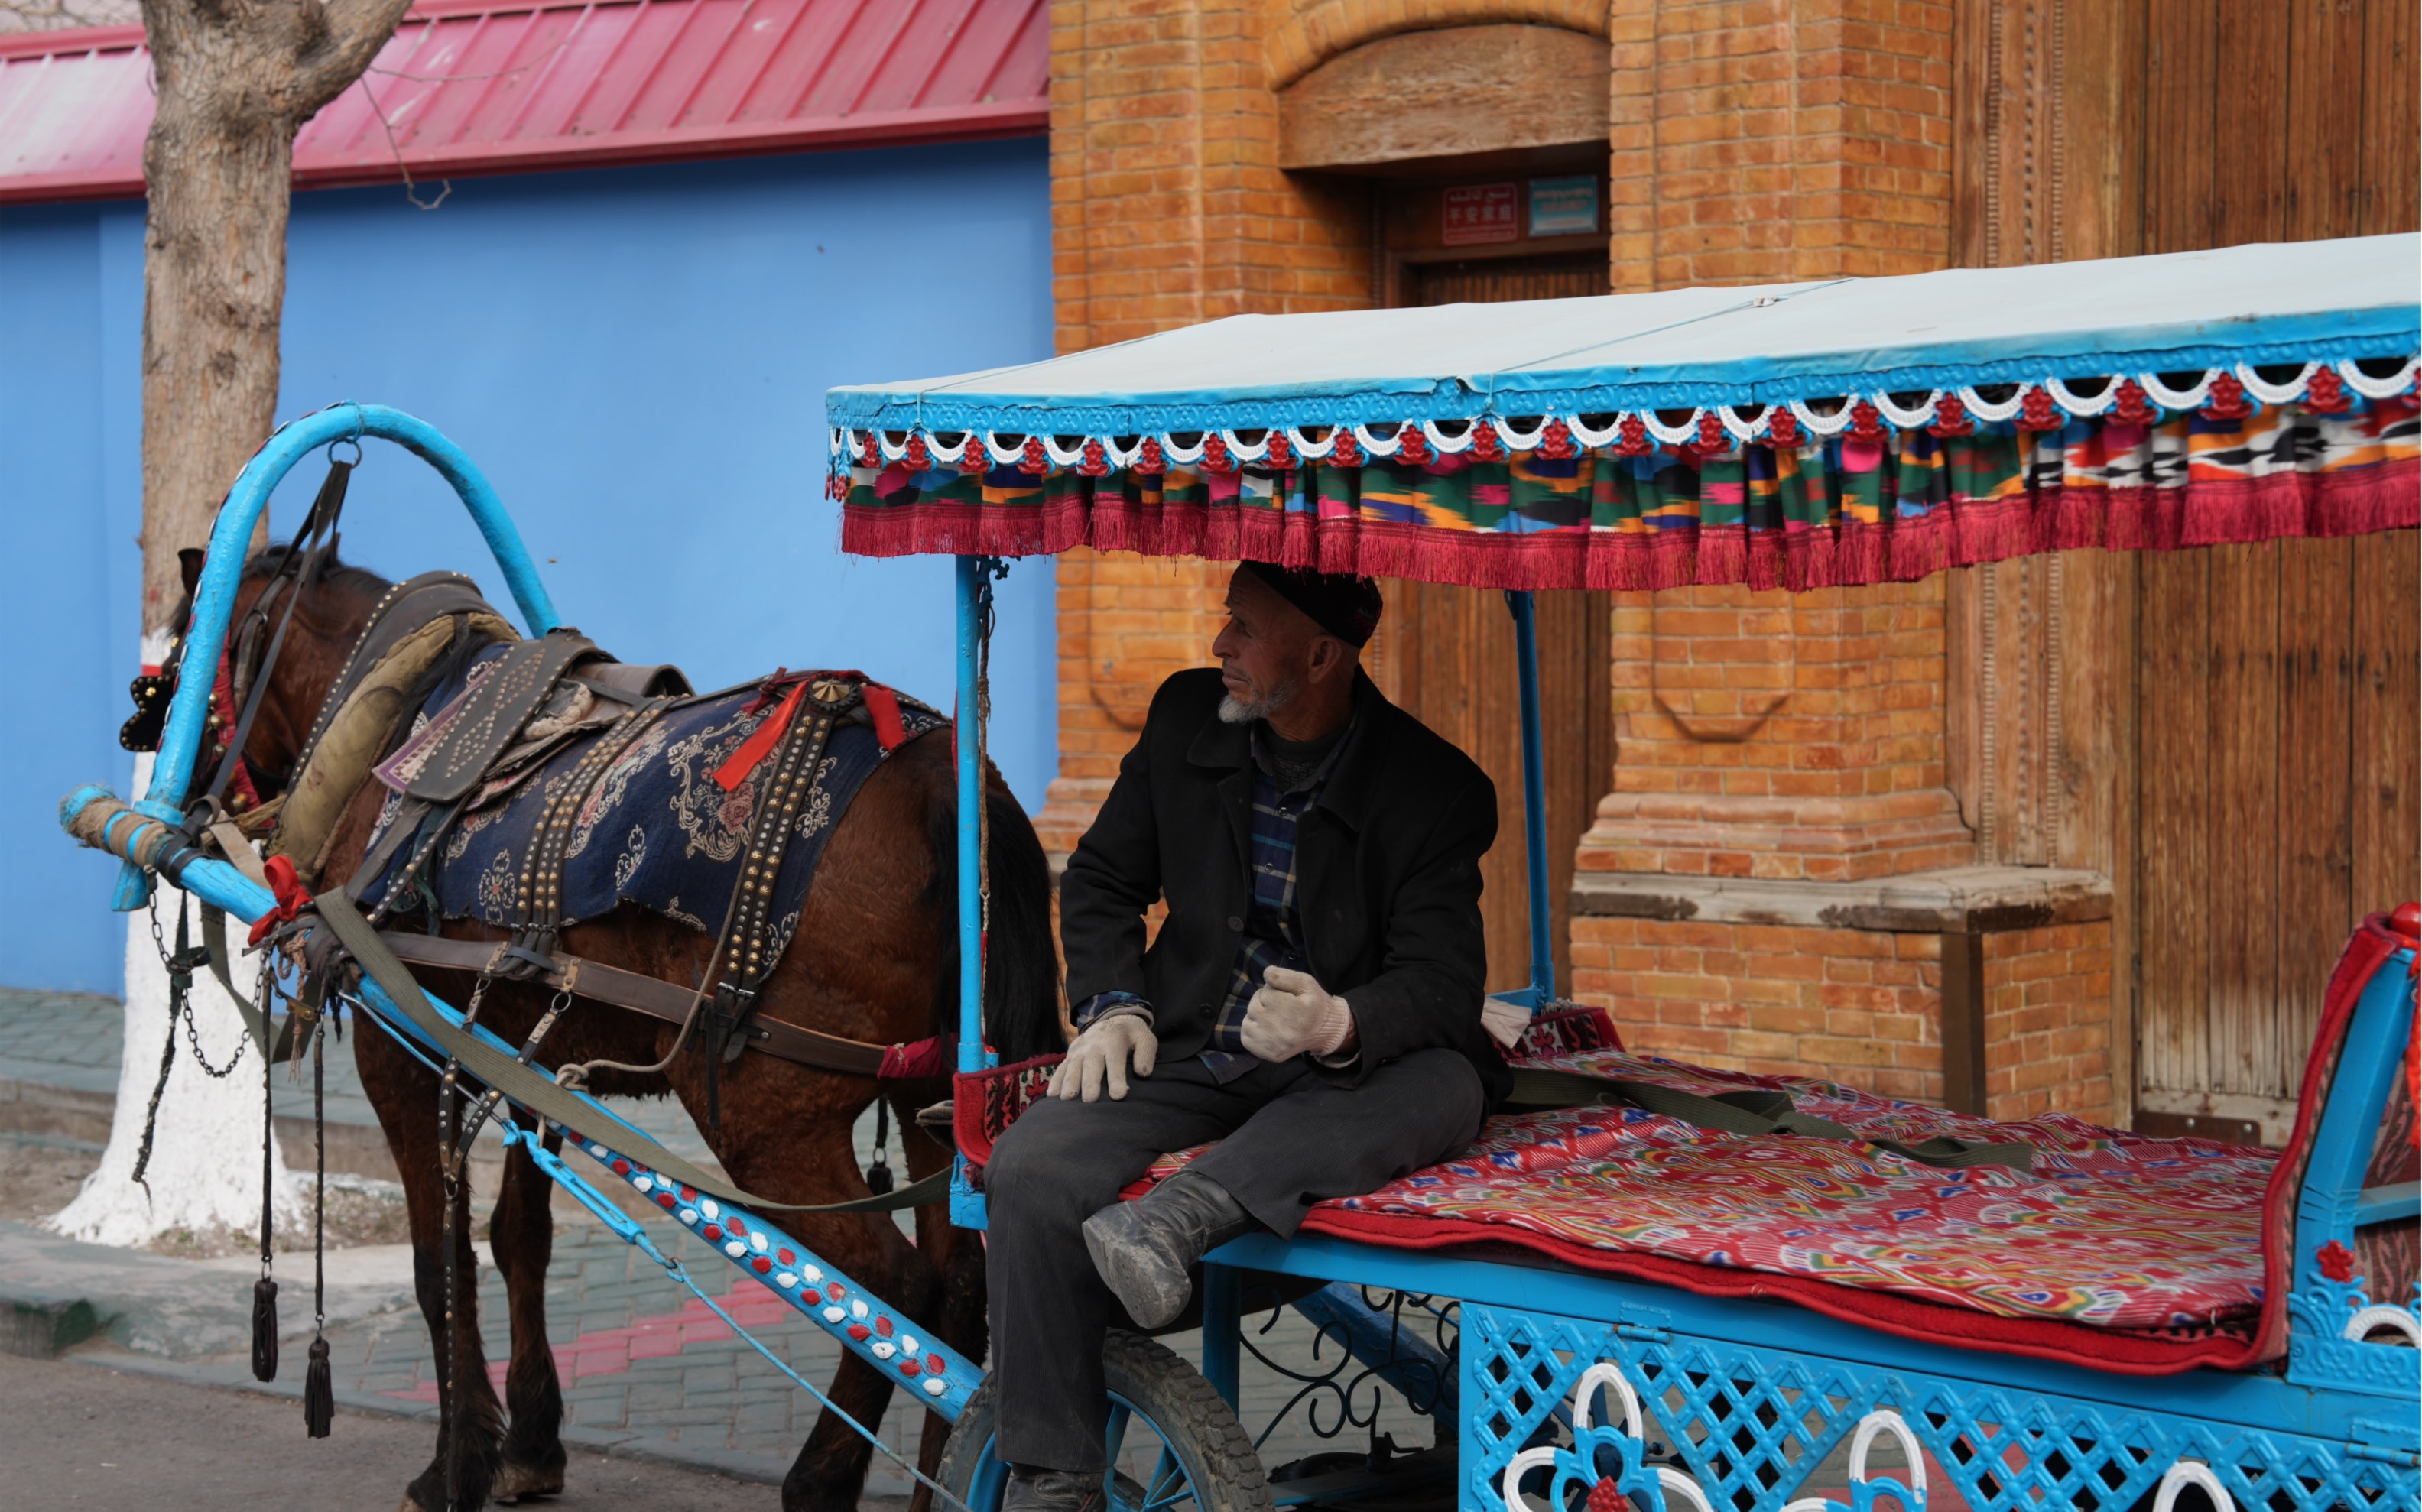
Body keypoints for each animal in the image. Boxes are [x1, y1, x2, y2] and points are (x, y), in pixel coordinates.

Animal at [179, 545, 1060, 1512]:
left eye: (176, 652)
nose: (146, 749)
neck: (399, 718)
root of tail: (940, 776)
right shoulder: (520, 1051)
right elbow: (517, 1238)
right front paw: (529, 1443)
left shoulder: (398, 1047)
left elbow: (438, 1259)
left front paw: (453, 1467)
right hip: (933, 1091)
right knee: (964, 1290)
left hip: (768, 1120)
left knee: (894, 1290)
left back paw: (818, 1481)